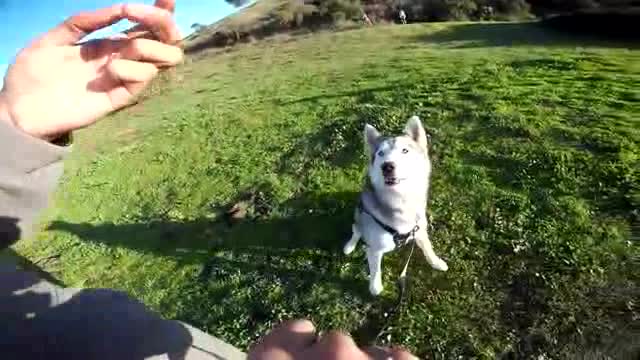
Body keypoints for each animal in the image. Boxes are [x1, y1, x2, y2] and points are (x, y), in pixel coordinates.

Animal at [342, 115, 448, 296]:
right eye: (380, 153)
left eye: (405, 151)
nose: (387, 166)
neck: (401, 201)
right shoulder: (375, 248)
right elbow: (375, 269)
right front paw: (375, 287)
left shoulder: (419, 231)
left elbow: (428, 248)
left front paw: (436, 262)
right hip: (359, 214)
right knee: (356, 231)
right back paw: (349, 246)